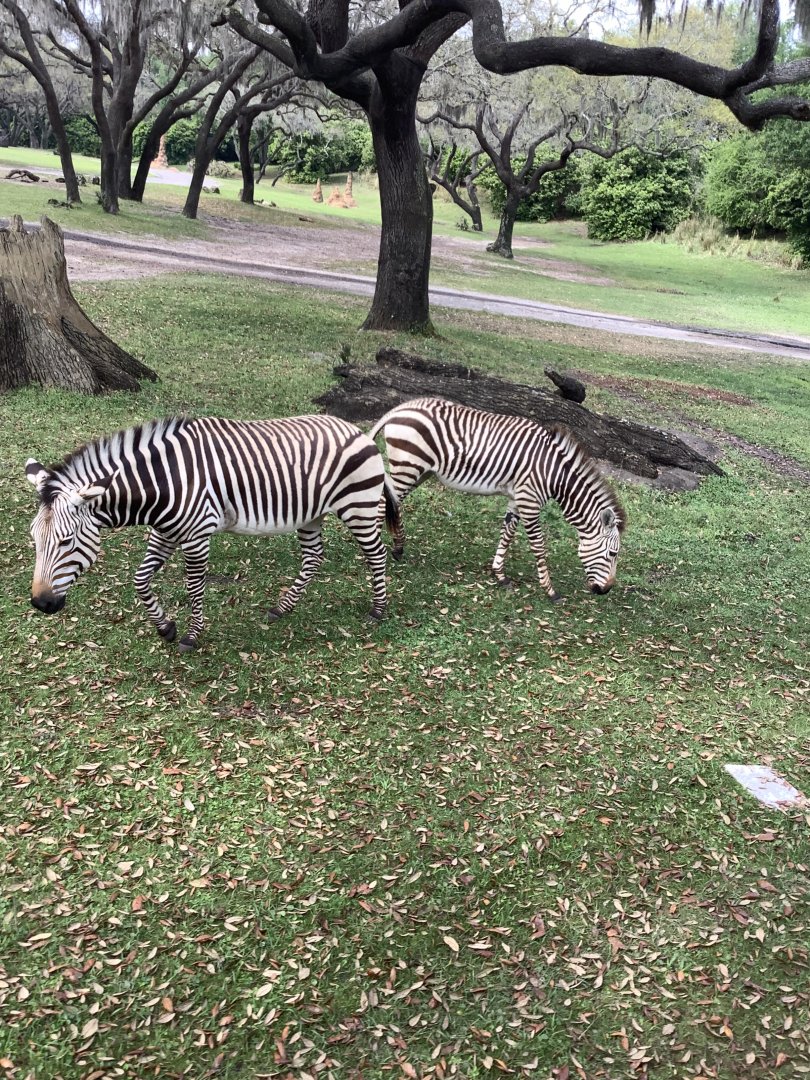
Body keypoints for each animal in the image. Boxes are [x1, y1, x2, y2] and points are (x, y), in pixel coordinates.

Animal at [25, 414, 400, 651]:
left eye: (66, 541)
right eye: (35, 541)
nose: (41, 604)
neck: (162, 483)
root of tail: (359, 432)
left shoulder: (196, 536)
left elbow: (194, 587)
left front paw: (191, 636)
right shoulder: (165, 531)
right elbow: (140, 581)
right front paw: (166, 628)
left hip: (358, 506)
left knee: (376, 554)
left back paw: (379, 610)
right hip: (312, 512)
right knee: (313, 558)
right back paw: (282, 608)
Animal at [368, 397, 625, 600]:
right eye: (613, 554)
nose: (606, 591)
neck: (555, 472)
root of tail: (401, 408)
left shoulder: (517, 498)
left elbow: (507, 535)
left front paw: (499, 574)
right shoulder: (530, 500)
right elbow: (539, 546)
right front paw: (550, 591)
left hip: (420, 471)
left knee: (392, 503)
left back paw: (398, 547)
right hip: (407, 468)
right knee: (382, 504)